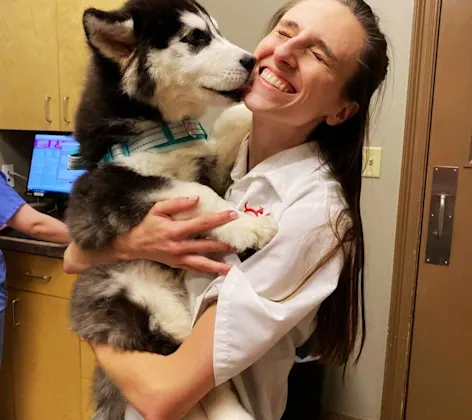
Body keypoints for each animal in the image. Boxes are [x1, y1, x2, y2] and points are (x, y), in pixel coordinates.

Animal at [67, 0, 278, 420]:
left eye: (217, 31)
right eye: (196, 37)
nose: (253, 61)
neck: (163, 130)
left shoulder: (208, 165)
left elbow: (222, 136)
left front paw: (252, 110)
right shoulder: (103, 194)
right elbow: (192, 191)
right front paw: (246, 225)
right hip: (146, 303)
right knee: (183, 384)